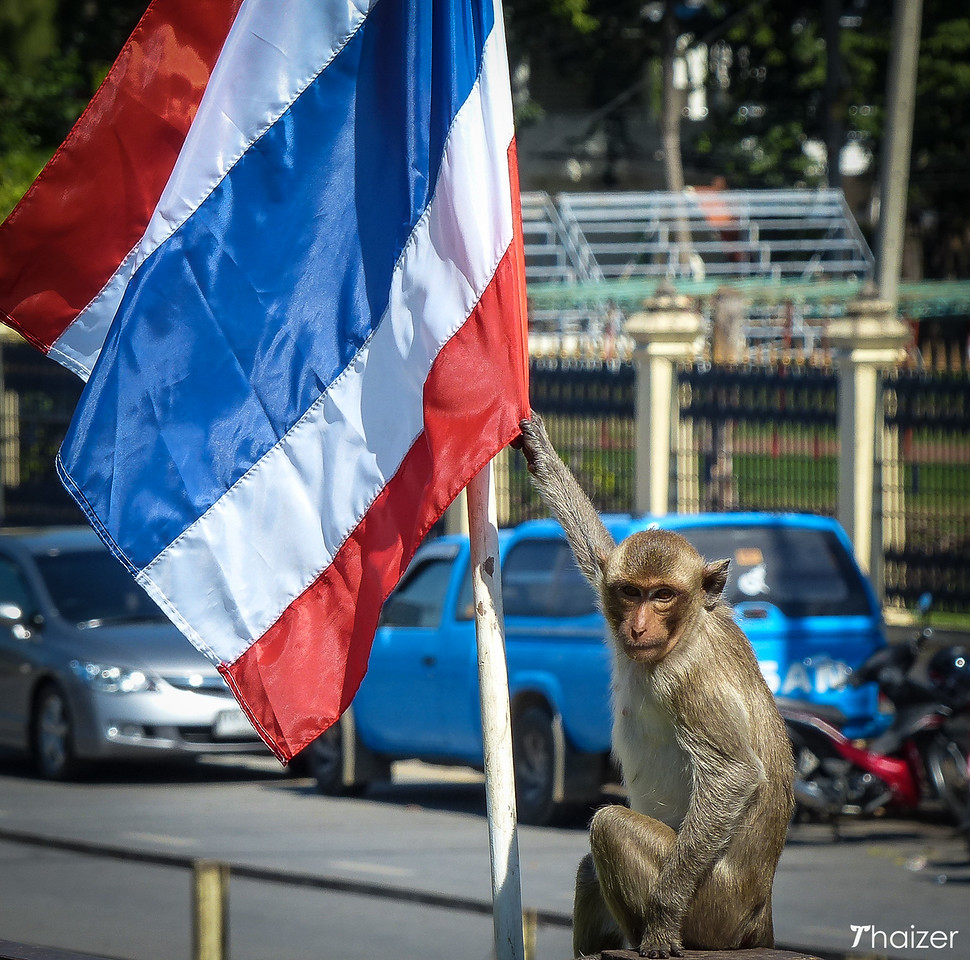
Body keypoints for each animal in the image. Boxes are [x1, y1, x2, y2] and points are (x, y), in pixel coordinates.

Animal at [513, 414, 794, 959]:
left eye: (663, 595)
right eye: (631, 592)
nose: (639, 627)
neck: (683, 633)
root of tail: (758, 915)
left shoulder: (688, 682)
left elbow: (734, 775)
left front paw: (661, 919)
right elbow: (596, 550)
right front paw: (539, 450)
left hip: (712, 911)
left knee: (609, 827)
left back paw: (647, 930)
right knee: (589, 868)